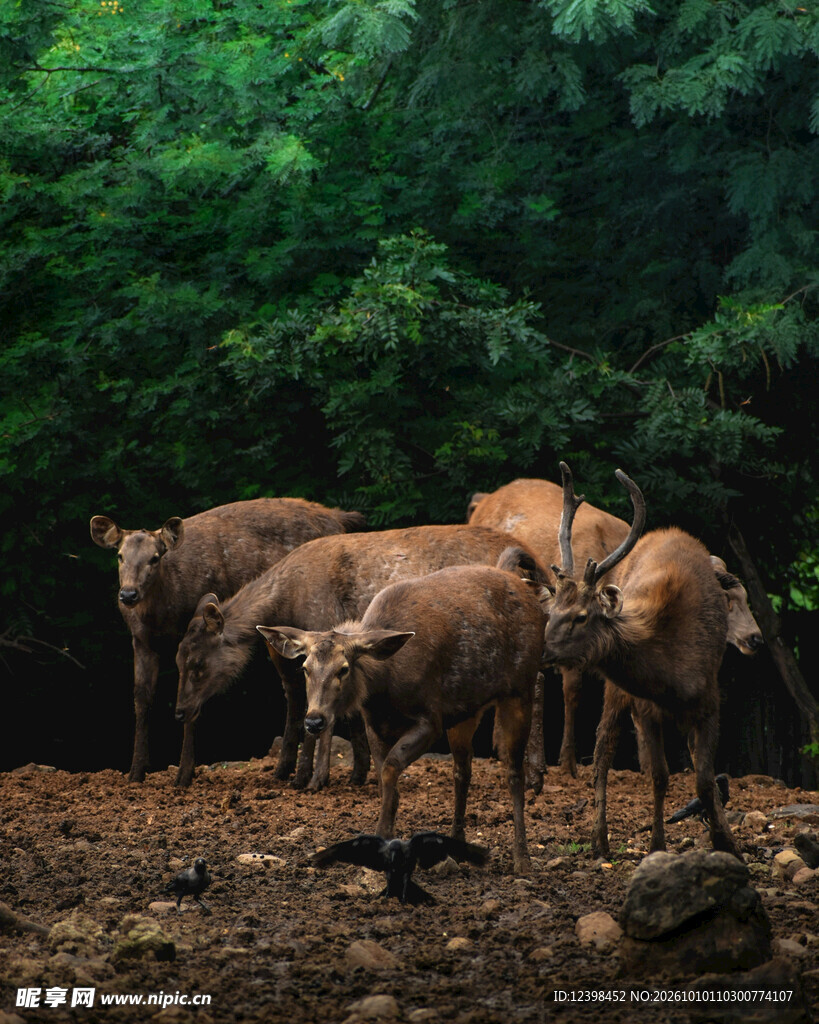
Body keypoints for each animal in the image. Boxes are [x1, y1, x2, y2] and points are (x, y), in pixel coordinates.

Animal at [90, 497, 366, 784]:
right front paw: (136, 772)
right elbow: (142, 698)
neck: (159, 614)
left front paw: (184, 774)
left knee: (297, 687)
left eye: (155, 558)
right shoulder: (141, 639)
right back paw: (289, 769)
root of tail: (338, 517)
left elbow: (193, 703)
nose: (128, 594)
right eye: (120, 556)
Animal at [173, 524, 548, 792]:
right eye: (177, 659)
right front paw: (339, 773)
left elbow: (325, 715)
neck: (286, 601)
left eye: (197, 664)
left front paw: (315, 779)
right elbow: (321, 708)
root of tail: (532, 562)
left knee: (537, 684)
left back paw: (534, 775)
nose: (179, 711)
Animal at [257, 550, 546, 876]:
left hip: (520, 687)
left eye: (344, 669)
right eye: (305, 668)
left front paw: (382, 837)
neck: (385, 685)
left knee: (514, 772)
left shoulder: (431, 719)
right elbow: (387, 779)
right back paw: (457, 847)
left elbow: (390, 768)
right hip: (465, 709)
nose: (315, 720)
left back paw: (522, 859)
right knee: (462, 771)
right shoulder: (374, 723)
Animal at [540, 463, 742, 861]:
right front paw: (656, 846)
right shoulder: (645, 706)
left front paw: (726, 844)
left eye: (581, 616)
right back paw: (598, 840)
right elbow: (660, 776)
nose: (544, 652)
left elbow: (704, 778)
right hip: (617, 691)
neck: (672, 675)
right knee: (602, 748)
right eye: (551, 611)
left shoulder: (711, 701)